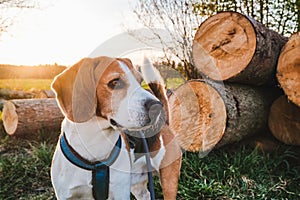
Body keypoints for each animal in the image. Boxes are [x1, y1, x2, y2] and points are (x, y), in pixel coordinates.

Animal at [50, 56, 182, 200]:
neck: (95, 143)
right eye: (114, 82)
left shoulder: (120, 193)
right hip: (137, 185)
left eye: (139, 81)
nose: (157, 107)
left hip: (168, 179)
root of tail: (164, 123)